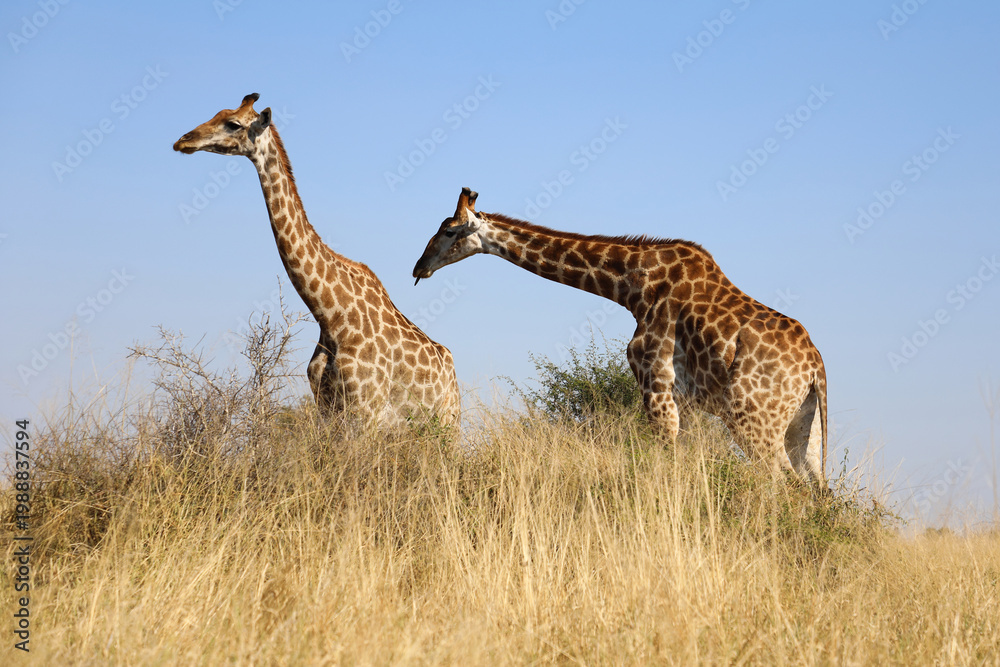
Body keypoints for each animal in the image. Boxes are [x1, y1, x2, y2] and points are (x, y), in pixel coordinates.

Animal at [173, 94, 459, 428]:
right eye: (216, 113)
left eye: (233, 124)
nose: (183, 140)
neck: (331, 315)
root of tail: (452, 370)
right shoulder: (326, 407)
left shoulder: (367, 411)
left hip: (447, 421)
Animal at [412, 188, 827, 486]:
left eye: (449, 230)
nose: (419, 267)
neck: (632, 285)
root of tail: (816, 369)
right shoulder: (687, 401)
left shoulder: (655, 381)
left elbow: (665, 461)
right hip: (802, 430)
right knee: (816, 490)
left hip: (754, 420)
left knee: (785, 486)